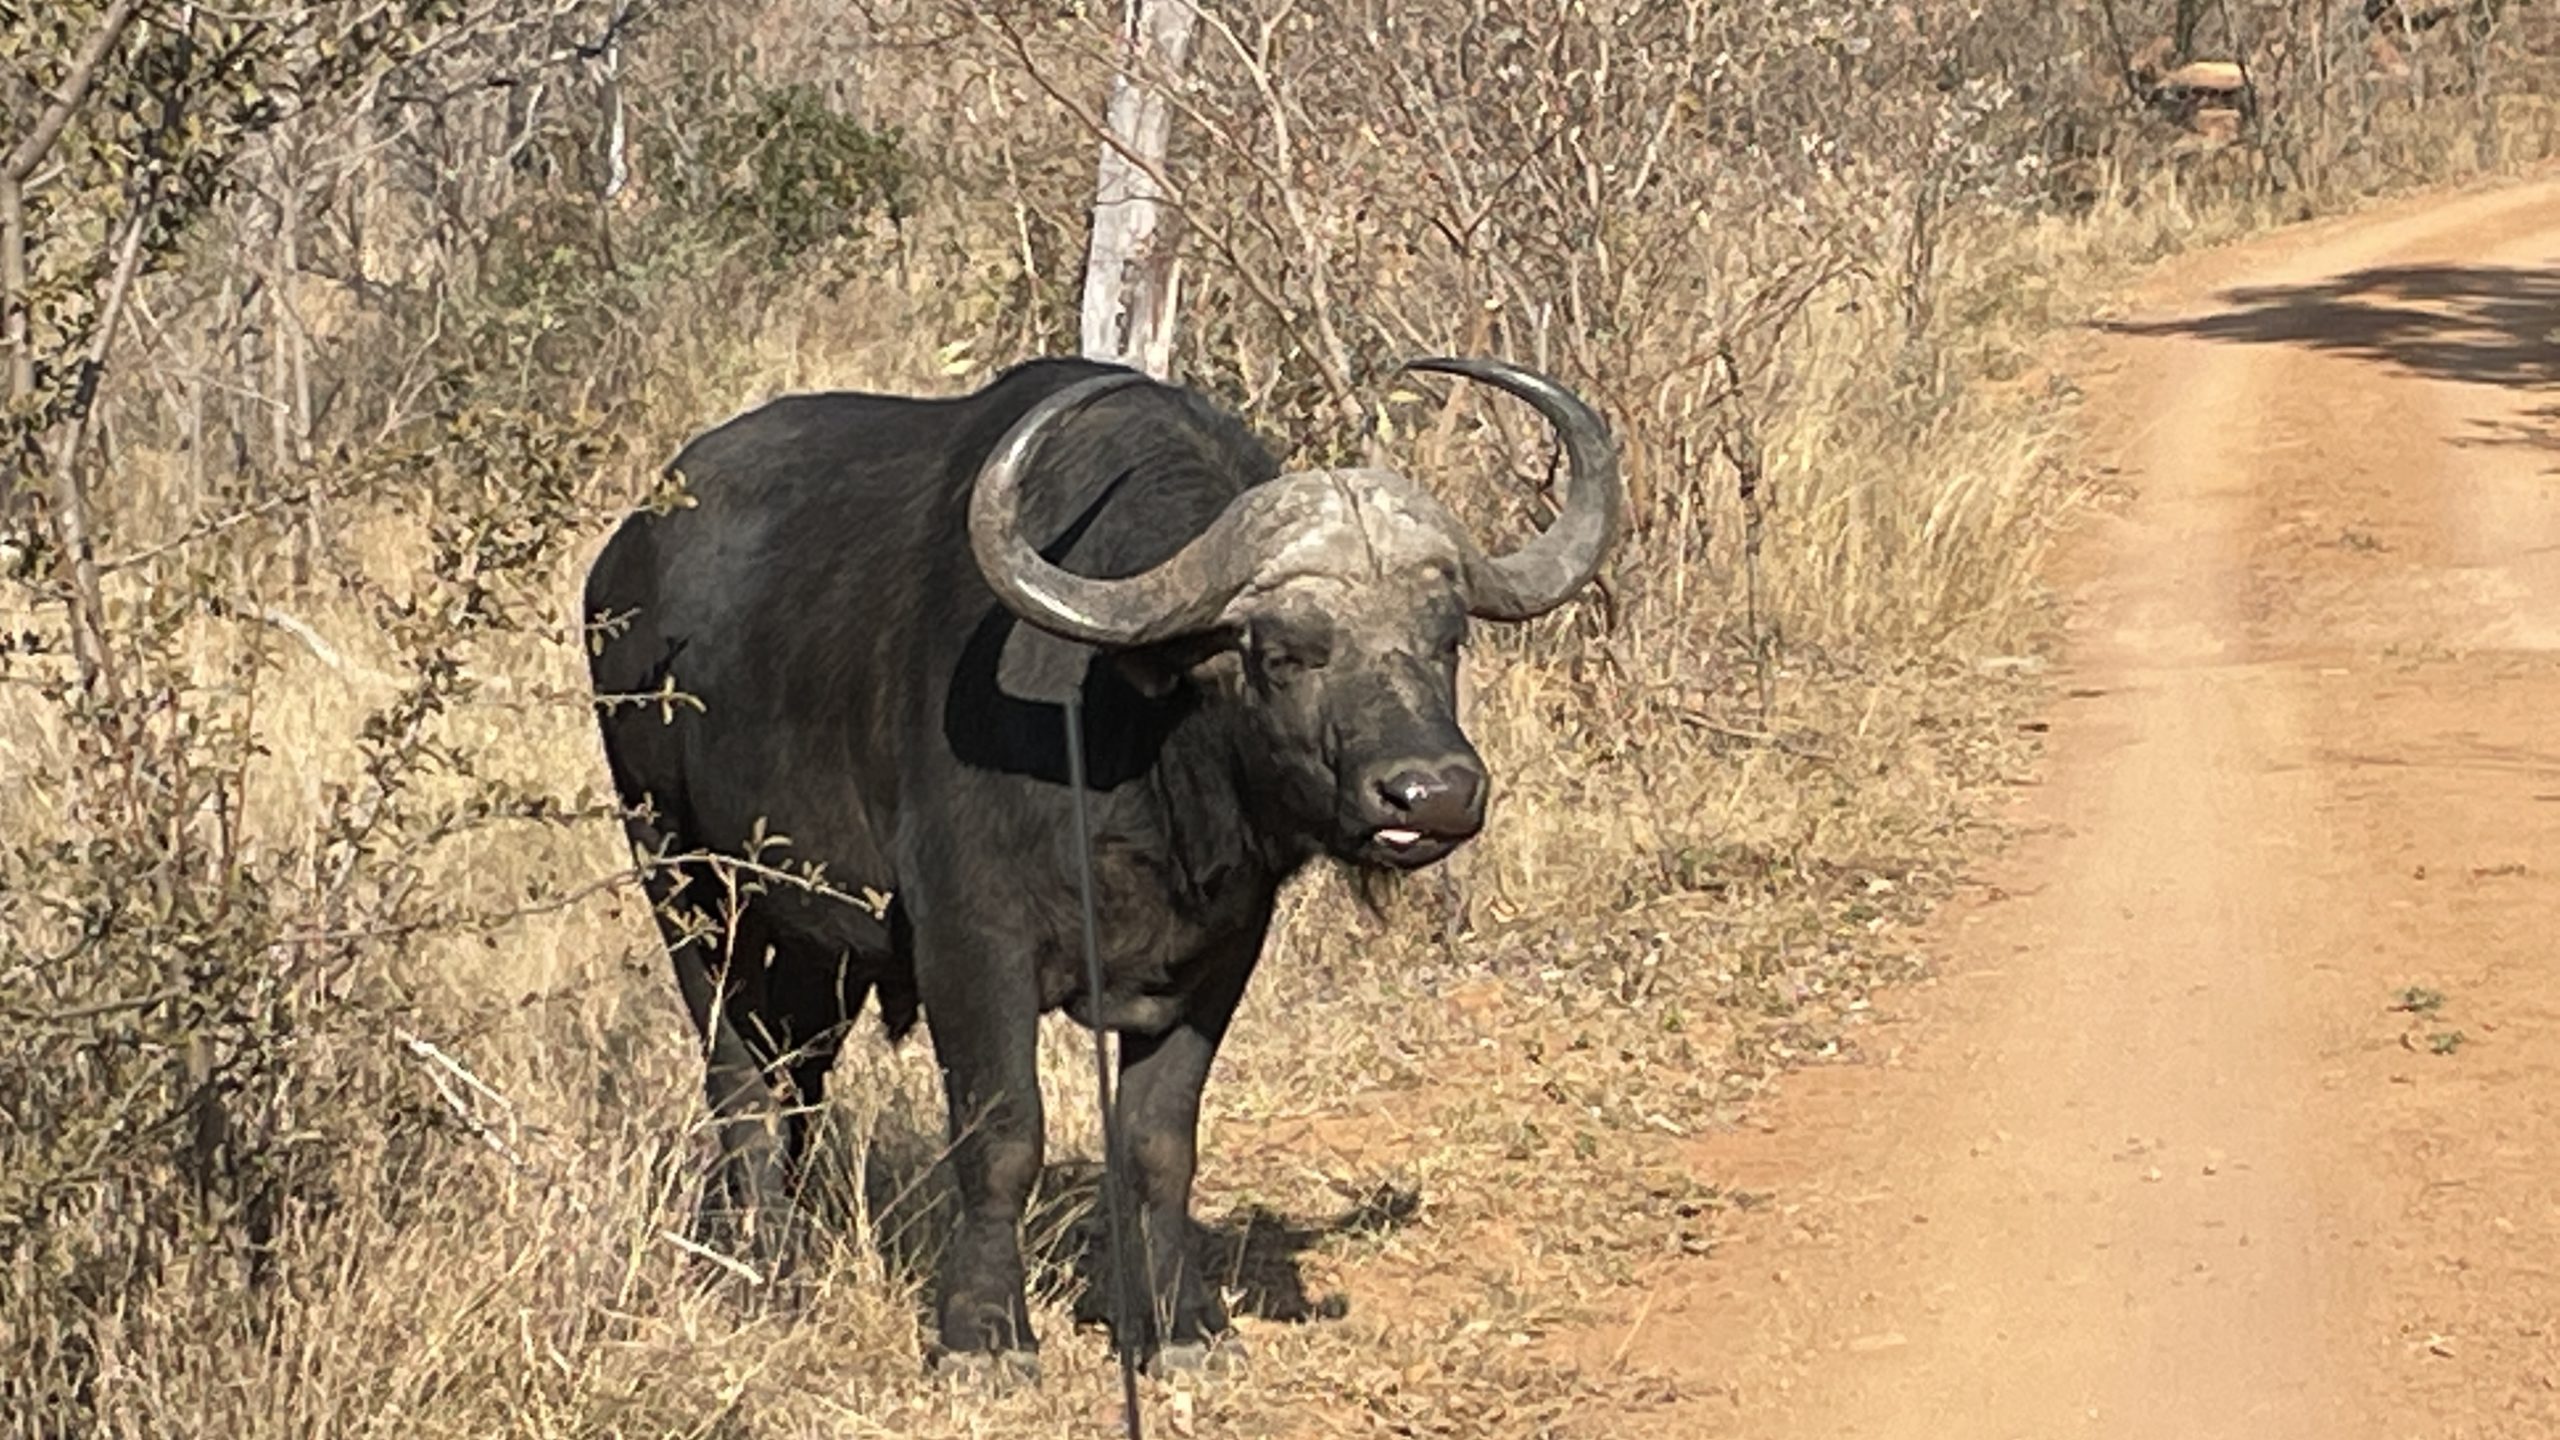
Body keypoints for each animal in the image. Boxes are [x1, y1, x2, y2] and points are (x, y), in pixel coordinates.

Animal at [583, 353, 1617, 1373]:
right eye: (1284, 653)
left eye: (1448, 638)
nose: (1430, 794)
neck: (1125, 736)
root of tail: (625, 563)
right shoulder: (971, 943)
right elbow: (1004, 1133)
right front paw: (984, 1334)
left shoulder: (1218, 953)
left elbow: (1158, 1142)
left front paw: (1181, 1324)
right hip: (680, 876)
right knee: (738, 1076)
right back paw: (757, 1268)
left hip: (815, 939)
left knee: (795, 1074)